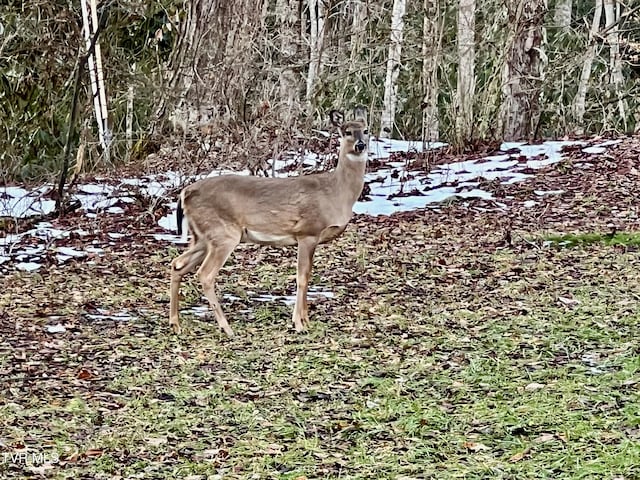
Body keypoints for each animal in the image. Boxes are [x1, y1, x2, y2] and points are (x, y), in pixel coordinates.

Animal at [169, 108, 370, 338]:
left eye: (366, 130)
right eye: (347, 131)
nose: (361, 145)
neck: (337, 193)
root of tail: (185, 193)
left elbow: (308, 276)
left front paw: (306, 320)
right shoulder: (307, 232)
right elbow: (302, 277)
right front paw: (299, 323)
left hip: (202, 236)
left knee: (177, 264)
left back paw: (176, 324)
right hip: (223, 233)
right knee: (205, 274)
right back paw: (226, 327)